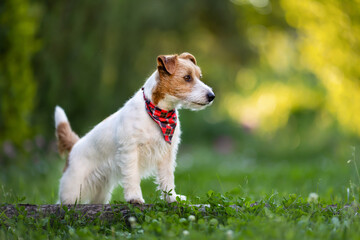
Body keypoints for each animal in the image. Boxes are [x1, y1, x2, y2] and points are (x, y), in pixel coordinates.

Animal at [54, 51, 215, 203]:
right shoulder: (130, 151)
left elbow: (167, 178)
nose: (212, 96)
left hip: (101, 191)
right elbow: (132, 177)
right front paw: (135, 198)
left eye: (199, 76)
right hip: (72, 191)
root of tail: (75, 145)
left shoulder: (166, 154)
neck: (158, 113)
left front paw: (172, 198)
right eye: (187, 77)